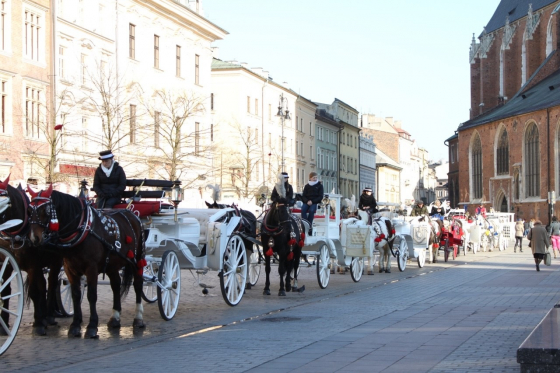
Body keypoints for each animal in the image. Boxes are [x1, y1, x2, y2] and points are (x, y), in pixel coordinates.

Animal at [0, 174, 63, 334]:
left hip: (56, 262)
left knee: (52, 284)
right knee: (44, 285)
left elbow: (35, 291)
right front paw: (4, 323)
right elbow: (7, 290)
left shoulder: (32, 265)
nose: (36, 238)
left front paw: (40, 322)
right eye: (29, 211)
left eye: (4, 200)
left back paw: (48, 315)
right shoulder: (6, 264)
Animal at [27, 185, 145, 338]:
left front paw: (92, 326)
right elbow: (76, 295)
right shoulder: (69, 269)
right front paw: (75, 325)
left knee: (138, 285)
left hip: (138, 259)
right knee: (115, 285)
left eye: (45, 211)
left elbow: (92, 295)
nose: (34, 238)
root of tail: (132, 215)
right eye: (29, 211)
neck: (81, 228)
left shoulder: (91, 268)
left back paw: (138, 319)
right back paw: (115, 318)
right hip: (112, 264)